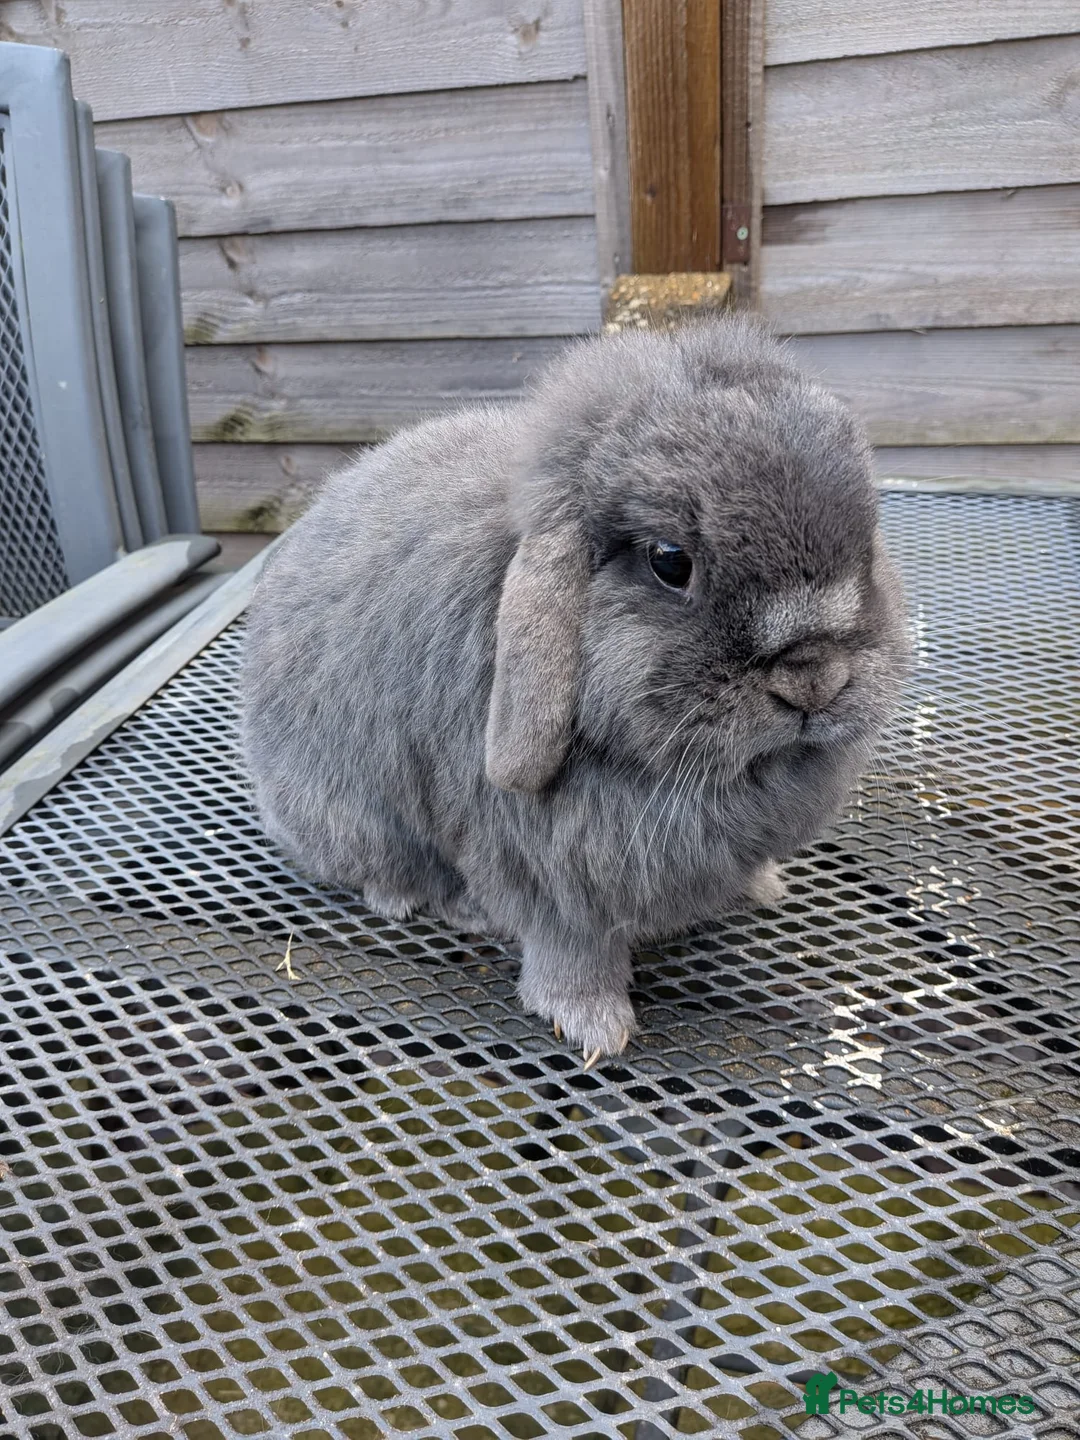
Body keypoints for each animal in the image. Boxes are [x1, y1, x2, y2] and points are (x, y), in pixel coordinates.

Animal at [240, 315, 909, 1065]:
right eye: (670, 561)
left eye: (869, 543)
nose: (814, 679)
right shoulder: (550, 875)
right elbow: (571, 950)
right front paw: (596, 1026)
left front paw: (763, 885)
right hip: (348, 817)